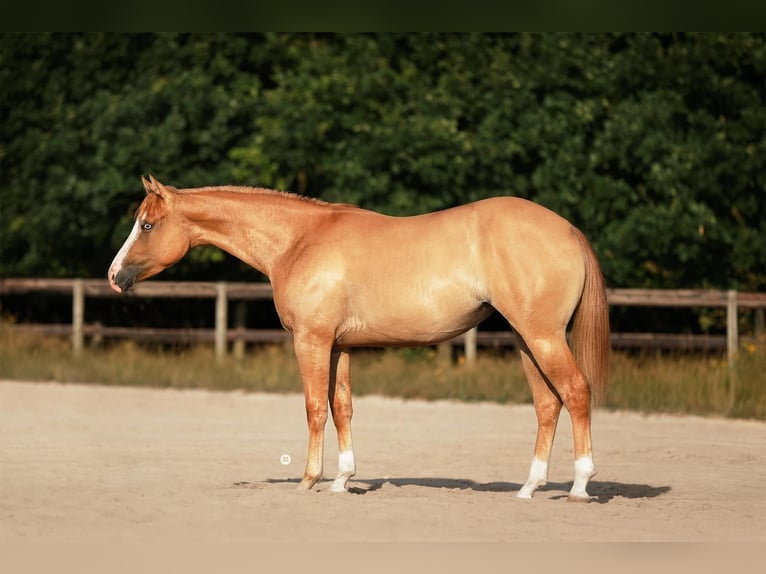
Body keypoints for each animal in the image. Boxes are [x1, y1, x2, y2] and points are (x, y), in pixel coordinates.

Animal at [108, 175, 610, 500]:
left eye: (147, 225)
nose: (115, 276)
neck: (298, 241)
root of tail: (567, 229)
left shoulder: (311, 341)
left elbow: (314, 408)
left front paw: (309, 479)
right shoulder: (340, 347)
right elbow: (342, 408)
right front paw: (342, 479)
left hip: (542, 337)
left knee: (575, 392)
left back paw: (581, 485)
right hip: (527, 340)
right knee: (548, 405)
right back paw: (529, 487)